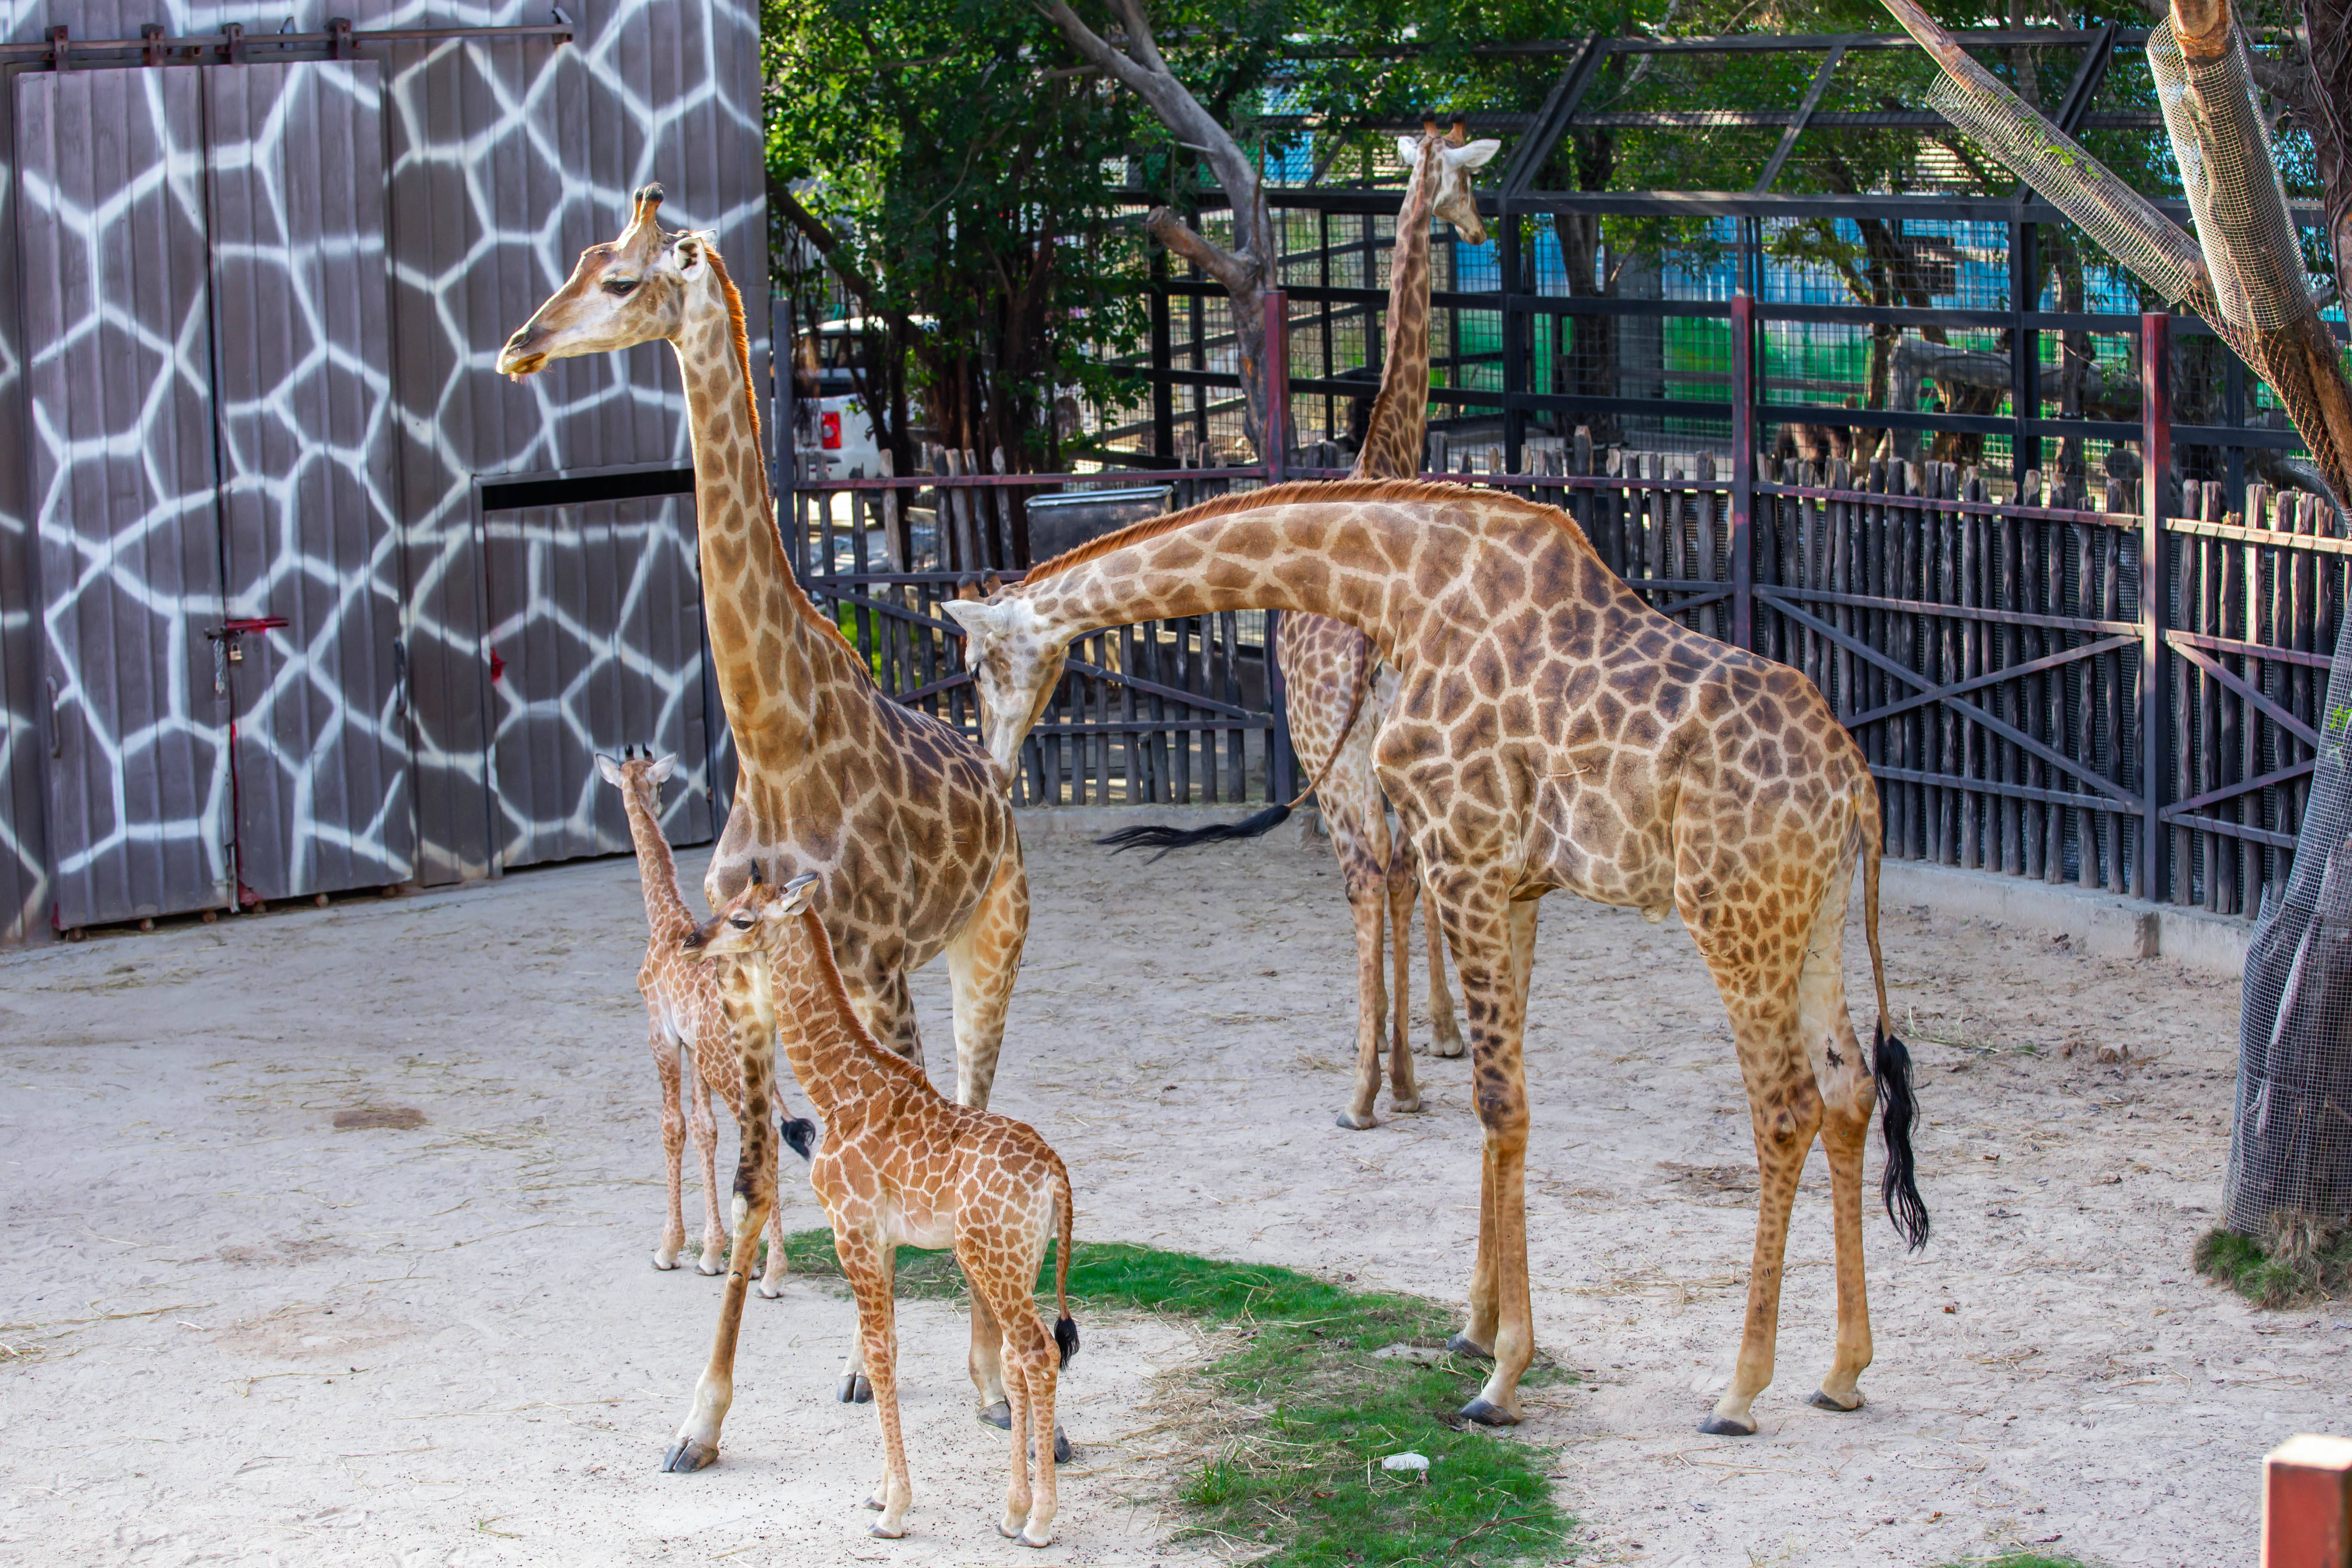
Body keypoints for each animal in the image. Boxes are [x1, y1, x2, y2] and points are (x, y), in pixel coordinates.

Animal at [602, 752, 814, 1298]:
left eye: (656, 784)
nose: (659, 803)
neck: (663, 922)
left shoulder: (661, 1035)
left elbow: (672, 1126)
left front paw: (670, 1248)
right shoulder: (694, 1046)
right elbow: (704, 1130)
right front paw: (714, 1252)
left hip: (726, 1068)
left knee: (767, 1141)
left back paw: (772, 1274)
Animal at [686, 879, 1077, 1551]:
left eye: (740, 919)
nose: (692, 939)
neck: (840, 1094)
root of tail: (1056, 1175)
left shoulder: (853, 1232)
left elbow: (877, 1355)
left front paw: (893, 1511)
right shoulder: (883, 1241)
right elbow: (886, 1347)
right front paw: (880, 1493)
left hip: (995, 1259)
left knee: (1037, 1354)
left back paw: (1039, 1524)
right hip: (1019, 1259)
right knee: (1018, 1359)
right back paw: (1012, 1512)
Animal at [940, 479, 1929, 1439]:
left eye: (980, 666)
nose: (993, 764)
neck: (1400, 589)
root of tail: (1856, 784)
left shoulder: (1463, 857)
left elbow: (1500, 1103)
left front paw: (1503, 1378)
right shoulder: (1513, 884)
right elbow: (1496, 1112)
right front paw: (1475, 1330)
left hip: (1730, 915)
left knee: (1784, 1109)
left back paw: (1738, 1392)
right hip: (1810, 914)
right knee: (1849, 1089)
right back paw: (1842, 1372)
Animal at [1096, 122, 1496, 1128]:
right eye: (1469, 179)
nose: (1477, 223)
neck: (1383, 449)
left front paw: (1428, 1042)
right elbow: (1410, 878)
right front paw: (1438, 1038)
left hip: (1354, 750)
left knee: (1377, 874)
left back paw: (1374, 1085)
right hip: (1357, 749)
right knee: (1383, 874)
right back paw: (1378, 1084)